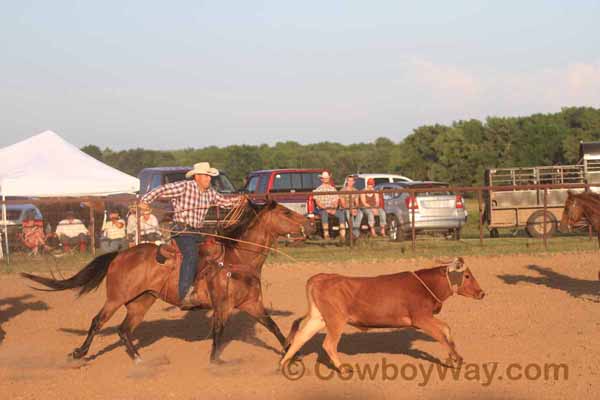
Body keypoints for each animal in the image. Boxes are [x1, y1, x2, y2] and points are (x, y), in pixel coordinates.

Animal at [22, 200, 314, 362]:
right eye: (287, 213)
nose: (311, 224)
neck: (237, 258)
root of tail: (120, 254)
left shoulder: (252, 303)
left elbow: (274, 326)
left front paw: (293, 352)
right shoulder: (222, 305)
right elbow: (219, 332)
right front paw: (215, 362)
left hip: (141, 301)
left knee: (124, 330)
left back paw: (141, 361)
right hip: (116, 298)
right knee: (97, 322)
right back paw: (79, 353)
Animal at [282, 258, 488, 370]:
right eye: (467, 275)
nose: (482, 293)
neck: (425, 285)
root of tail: (320, 278)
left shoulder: (426, 318)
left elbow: (446, 329)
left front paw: (453, 357)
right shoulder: (421, 319)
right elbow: (441, 335)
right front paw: (456, 359)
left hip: (318, 318)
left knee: (300, 337)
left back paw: (283, 364)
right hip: (335, 320)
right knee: (329, 344)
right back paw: (344, 369)